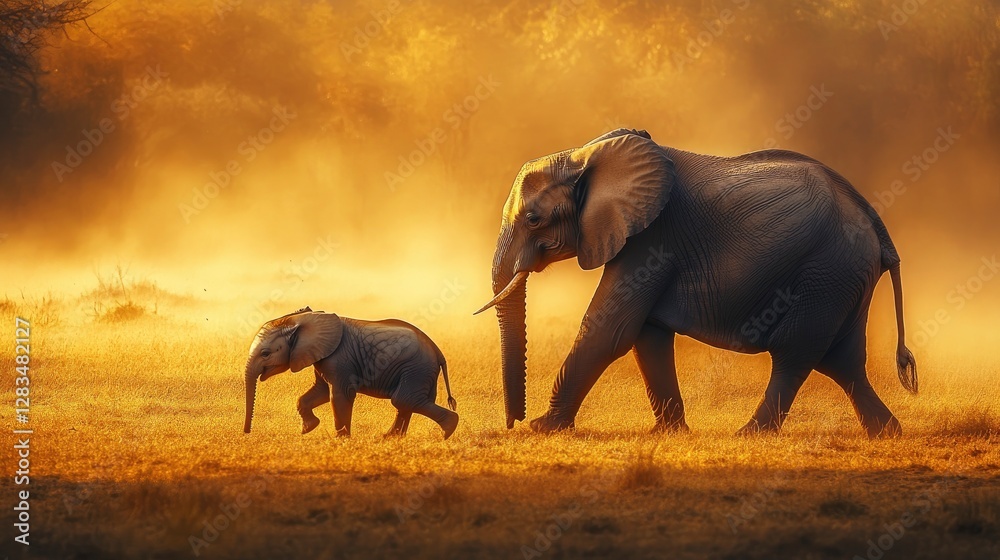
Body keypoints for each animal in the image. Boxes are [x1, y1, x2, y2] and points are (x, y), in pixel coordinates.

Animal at [243, 307, 458, 439]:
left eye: (266, 353)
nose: (246, 432)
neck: (304, 319)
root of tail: (437, 350)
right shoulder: (322, 357)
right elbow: (319, 392)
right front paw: (308, 429)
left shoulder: (339, 358)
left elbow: (339, 395)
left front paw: (341, 440)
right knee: (406, 402)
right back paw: (390, 438)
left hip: (415, 368)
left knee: (404, 400)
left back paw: (447, 432)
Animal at [476, 128, 917, 438]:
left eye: (534, 219)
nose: (514, 422)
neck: (584, 155)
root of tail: (878, 228)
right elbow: (647, 336)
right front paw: (668, 433)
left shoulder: (654, 238)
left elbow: (610, 330)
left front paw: (545, 427)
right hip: (844, 277)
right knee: (841, 360)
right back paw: (886, 434)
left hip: (826, 273)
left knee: (796, 354)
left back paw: (748, 435)